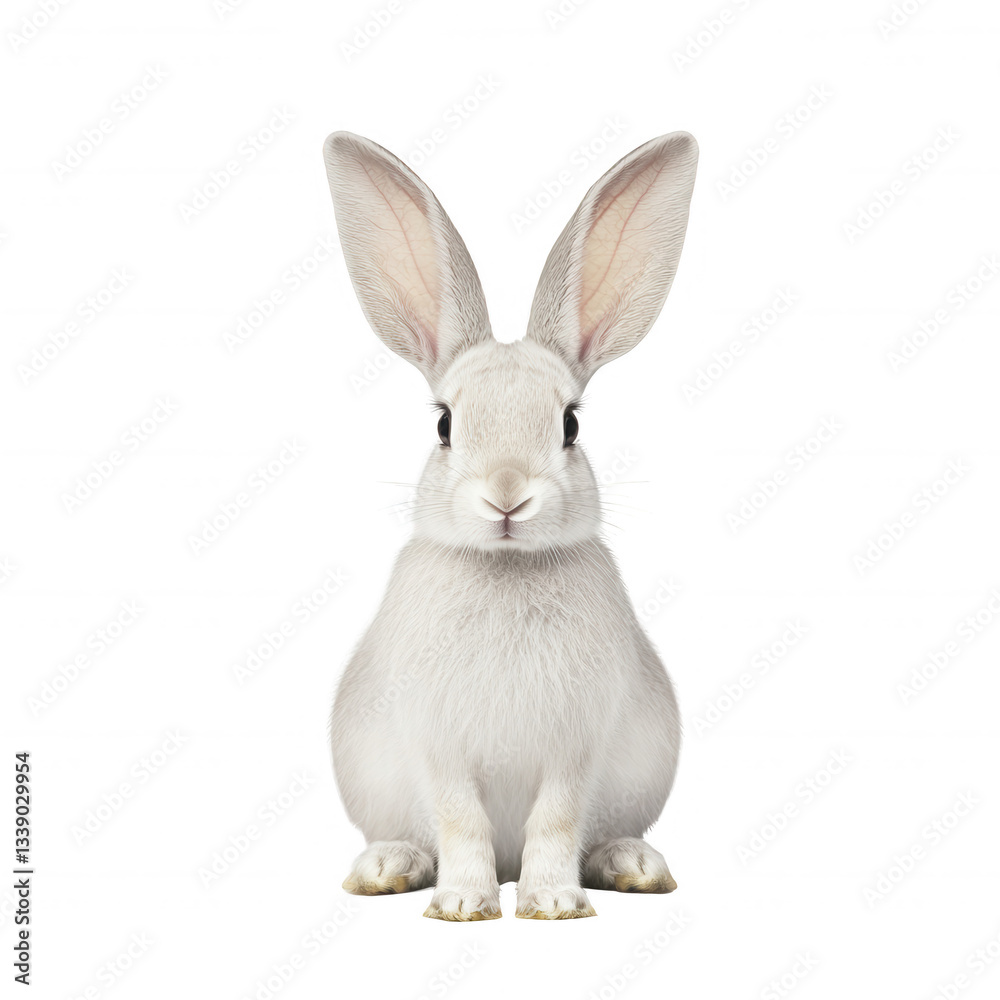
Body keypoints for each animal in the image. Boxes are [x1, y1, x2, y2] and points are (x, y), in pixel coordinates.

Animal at [322, 128, 698, 920]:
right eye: (444, 425)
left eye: (571, 425)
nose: (506, 496)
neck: (505, 569)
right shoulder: (436, 741)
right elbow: (459, 818)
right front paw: (465, 905)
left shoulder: (575, 742)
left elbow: (555, 819)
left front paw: (551, 903)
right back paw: (387, 868)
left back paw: (633, 864)